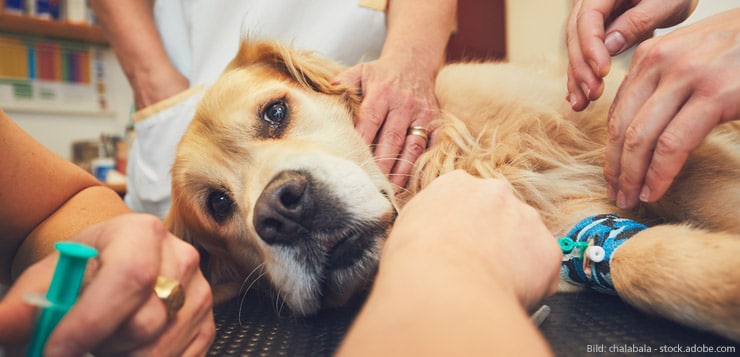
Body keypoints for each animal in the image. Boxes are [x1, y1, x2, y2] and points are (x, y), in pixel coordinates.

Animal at [168, 40, 740, 340]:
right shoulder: (567, 233)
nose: (283, 211)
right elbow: (640, 262)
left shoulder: (635, 139)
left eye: (275, 113)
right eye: (218, 205)